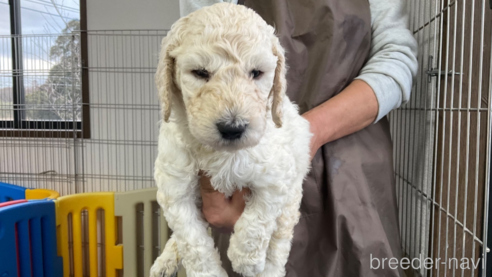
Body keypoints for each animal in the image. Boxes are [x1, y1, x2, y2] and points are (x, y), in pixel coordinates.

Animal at [151, 2, 312, 276]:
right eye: (200, 72)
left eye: (256, 73)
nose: (232, 128)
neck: (221, 154)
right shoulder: (175, 188)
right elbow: (192, 240)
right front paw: (208, 272)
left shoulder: (277, 176)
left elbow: (259, 217)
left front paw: (245, 259)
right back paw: (165, 261)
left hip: (291, 198)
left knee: (279, 243)